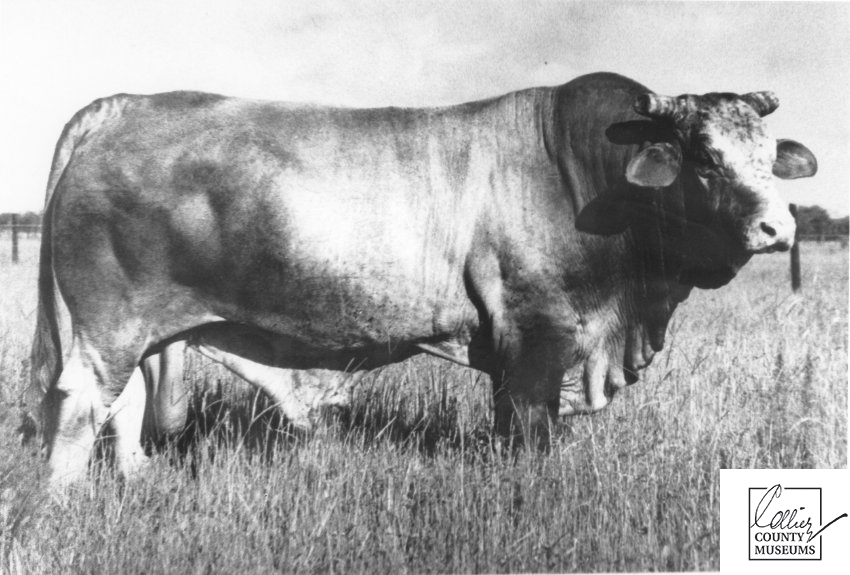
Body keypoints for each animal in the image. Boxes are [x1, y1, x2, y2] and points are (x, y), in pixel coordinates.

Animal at [30, 72, 816, 489]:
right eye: (706, 156)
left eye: (768, 155)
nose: (779, 227)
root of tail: (123, 107)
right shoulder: (538, 337)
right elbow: (529, 429)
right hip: (109, 327)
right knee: (77, 411)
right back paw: (64, 504)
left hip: (140, 334)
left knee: (125, 407)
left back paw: (136, 477)